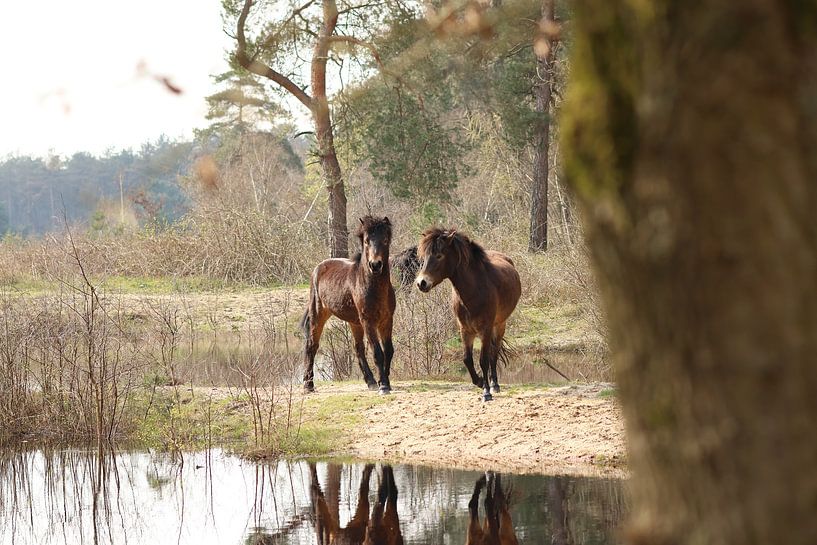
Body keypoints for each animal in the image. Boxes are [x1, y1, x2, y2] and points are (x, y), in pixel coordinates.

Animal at [301, 216, 397, 394]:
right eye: (366, 241)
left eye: (385, 240)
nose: (375, 265)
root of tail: (318, 268)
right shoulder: (369, 322)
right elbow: (377, 352)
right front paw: (384, 385)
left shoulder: (387, 320)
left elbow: (388, 351)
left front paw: (384, 380)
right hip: (319, 315)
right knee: (311, 346)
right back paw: (308, 385)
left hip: (355, 322)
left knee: (358, 348)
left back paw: (371, 382)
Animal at [415, 229, 521, 402]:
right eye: (423, 258)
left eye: (439, 255)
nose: (421, 283)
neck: (474, 291)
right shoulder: (465, 330)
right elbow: (467, 359)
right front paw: (479, 381)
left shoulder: (485, 329)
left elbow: (483, 360)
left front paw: (486, 392)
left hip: (499, 325)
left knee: (494, 353)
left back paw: (495, 384)